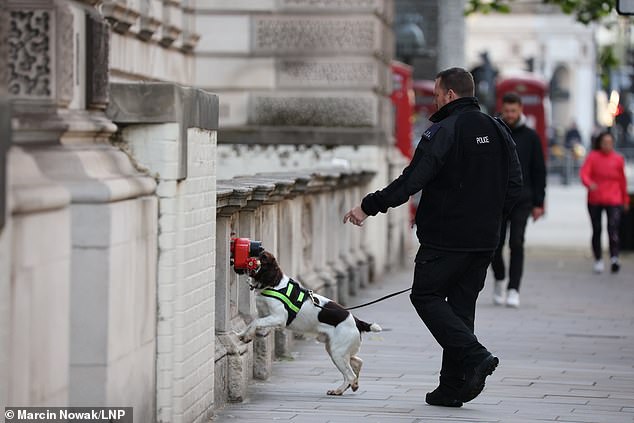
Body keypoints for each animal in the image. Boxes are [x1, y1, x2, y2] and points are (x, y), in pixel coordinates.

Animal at [237, 250, 380, 396]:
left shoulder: (279, 317)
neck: (274, 284)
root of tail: (357, 321)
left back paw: (338, 390)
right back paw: (352, 386)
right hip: (334, 348)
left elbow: (256, 321)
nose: (249, 258)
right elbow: (251, 323)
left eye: (264, 257)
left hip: (337, 351)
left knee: (350, 375)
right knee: (357, 363)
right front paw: (242, 335)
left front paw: (246, 336)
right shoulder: (265, 314)